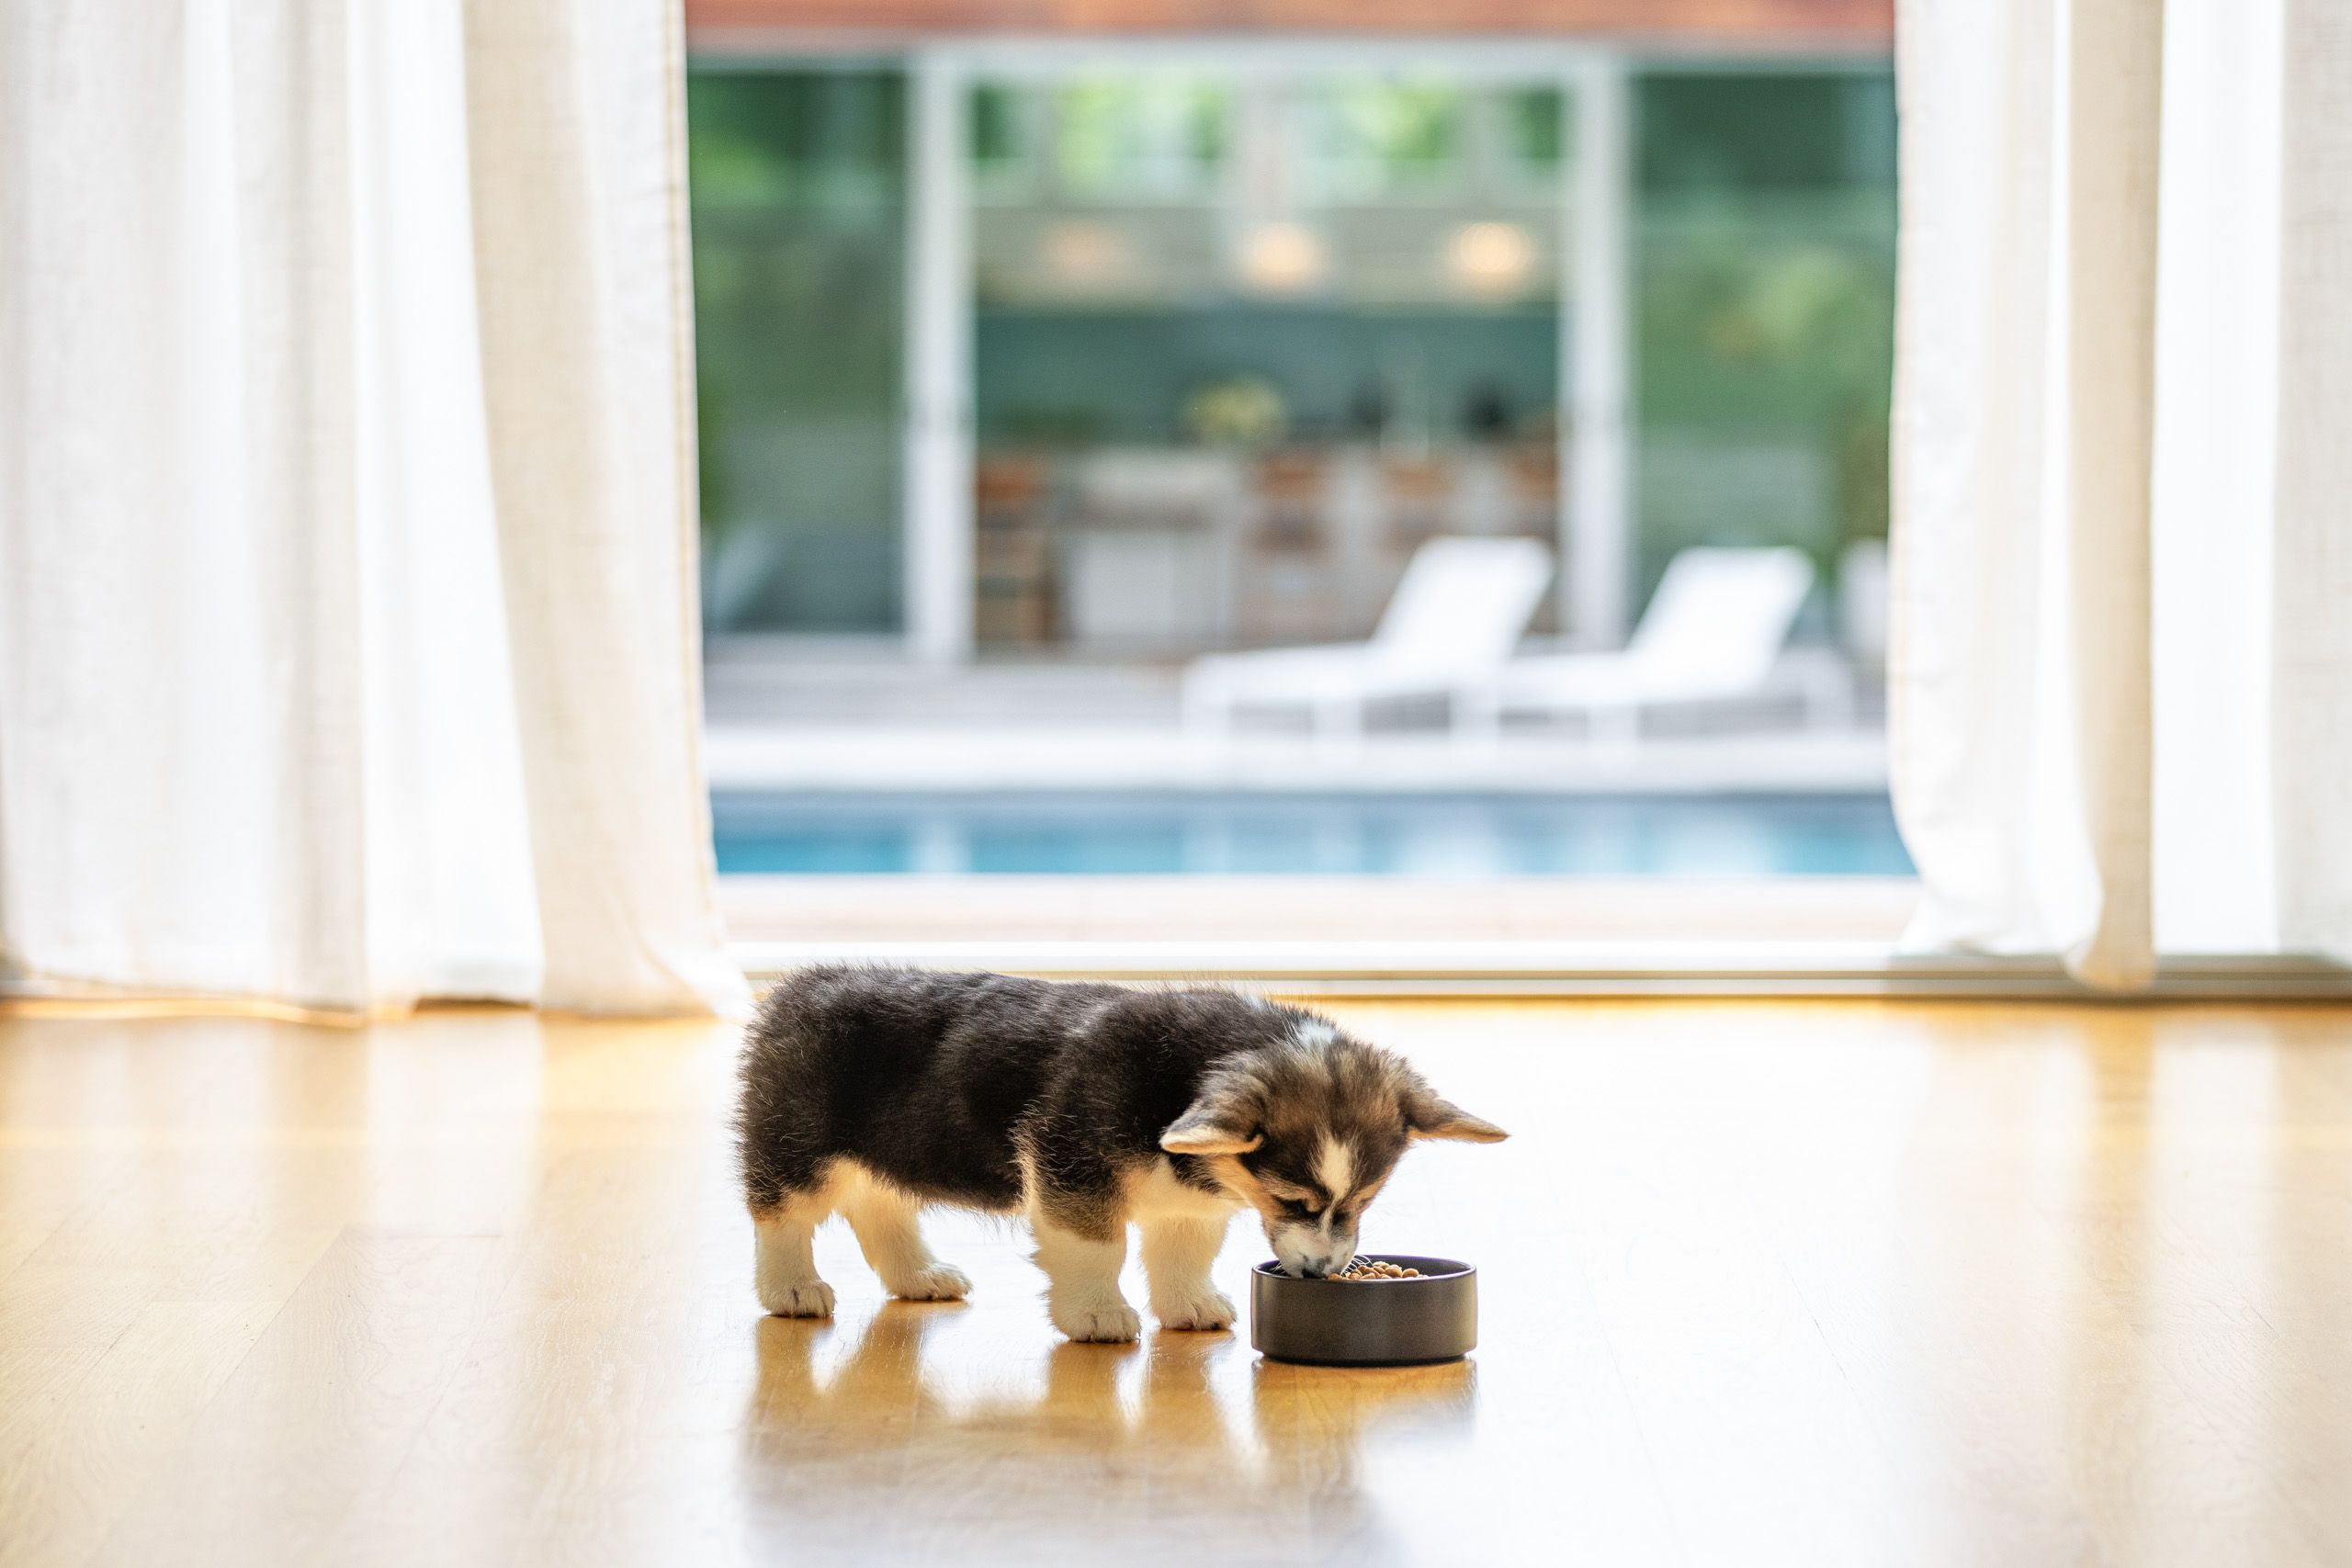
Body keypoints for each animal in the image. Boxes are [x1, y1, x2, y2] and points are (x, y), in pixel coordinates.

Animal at [733, 964, 1505, 1344]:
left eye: (1363, 1202)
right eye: (1292, 1200)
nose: (1322, 1273)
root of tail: (796, 987)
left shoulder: (1188, 1206)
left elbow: (1183, 1256)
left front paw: (1189, 1305)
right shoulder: (1072, 1169)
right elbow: (1098, 1250)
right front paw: (1097, 1315)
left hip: (891, 1150)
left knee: (880, 1207)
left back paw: (919, 1276)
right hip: (798, 1149)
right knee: (781, 1214)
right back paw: (791, 1288)